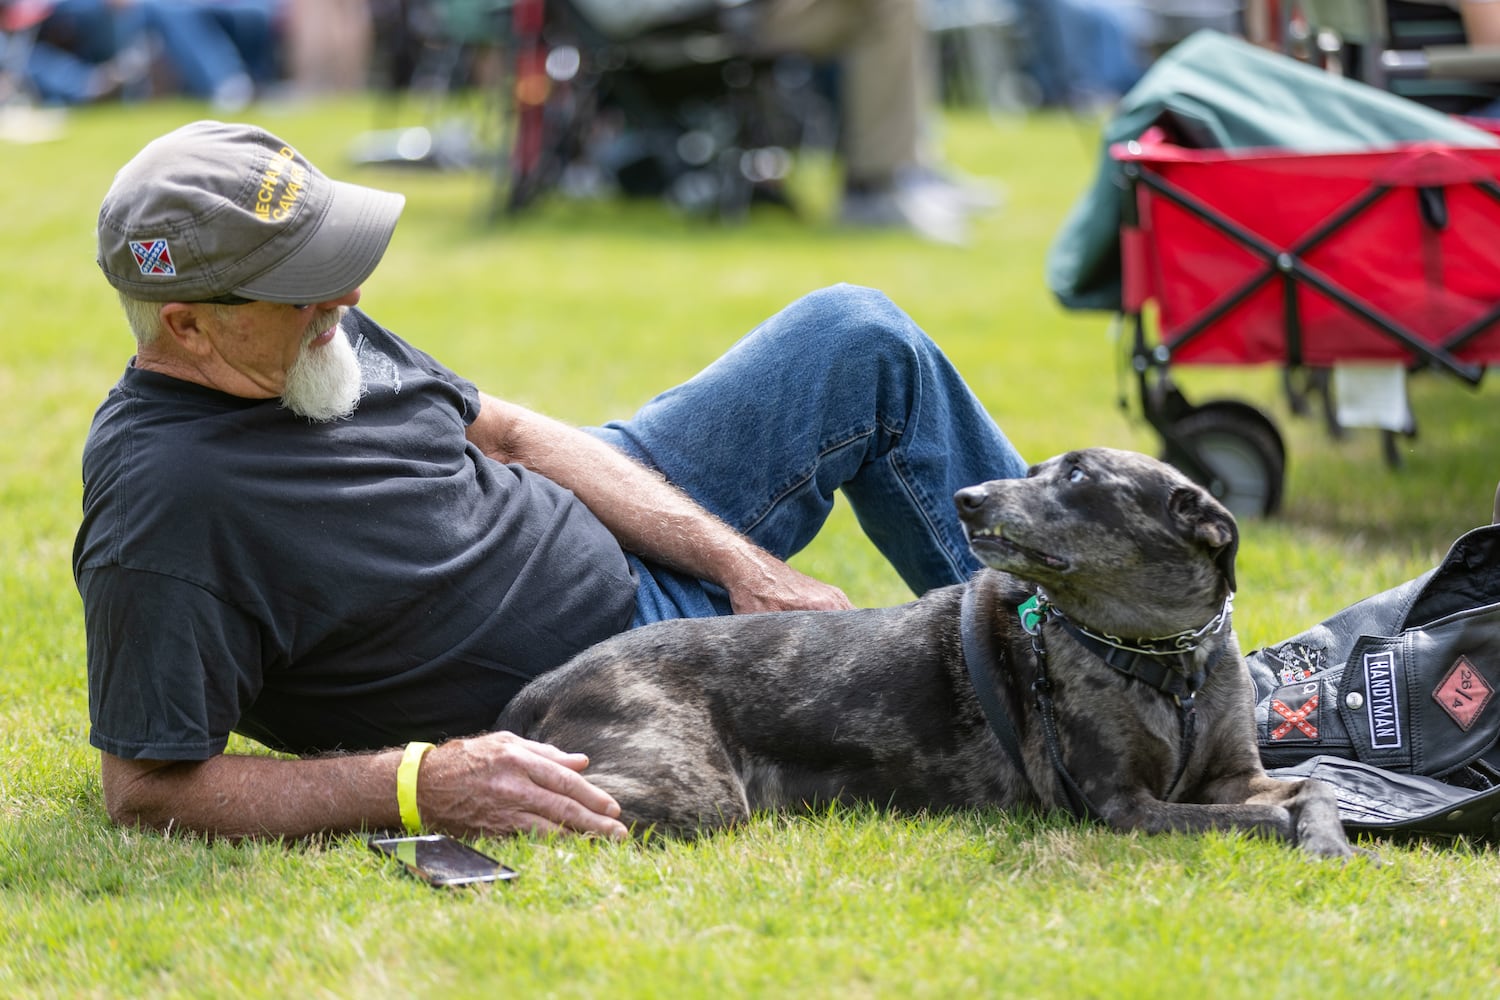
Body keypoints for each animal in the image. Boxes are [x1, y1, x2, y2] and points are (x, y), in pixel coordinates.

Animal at [498, 449, 1356, 857]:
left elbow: (1312, 788)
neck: (1162, 657)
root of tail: (546, 684)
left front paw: (1328, 842)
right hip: (687, 790)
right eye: (1038, 470)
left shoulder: (1234, 772)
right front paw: (1288, 831)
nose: (968, 498)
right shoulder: (1123, 806)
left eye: (1077, 474)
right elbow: (1246, 819)